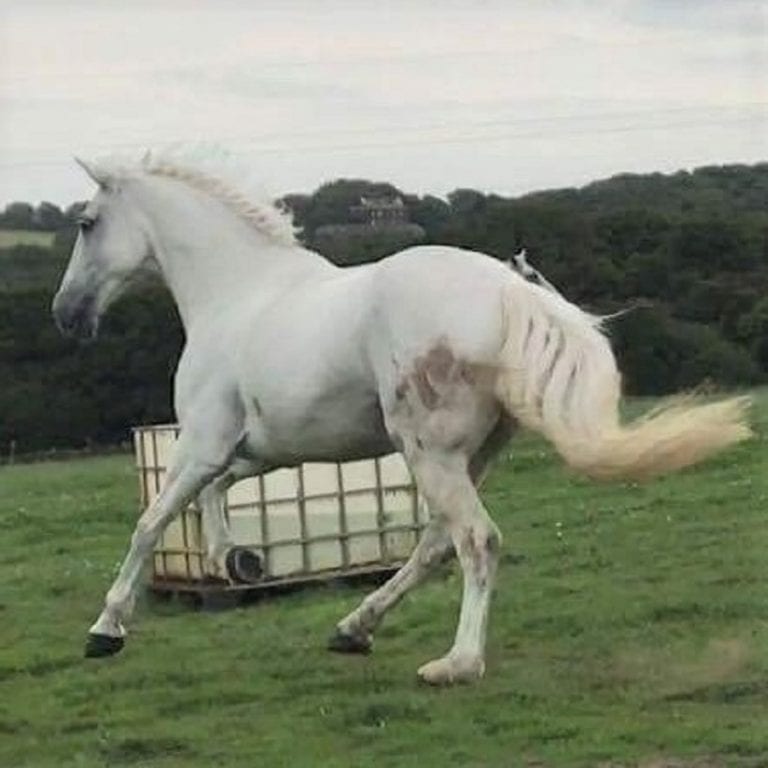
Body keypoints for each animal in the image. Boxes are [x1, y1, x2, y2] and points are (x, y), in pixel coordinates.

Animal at [52, 153, 751, 685]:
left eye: (87, 223)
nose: (66, 314)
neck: (237, 294)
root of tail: (508, 290)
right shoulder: (259, 449)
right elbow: (213, 497)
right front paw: (236, 560)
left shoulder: (202, 443)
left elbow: (151, 522)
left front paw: (106, 630)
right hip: (468, 457)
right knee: (437, 544)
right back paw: (353, 629)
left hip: (429, 453)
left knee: (475, 540)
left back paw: (456, 663)